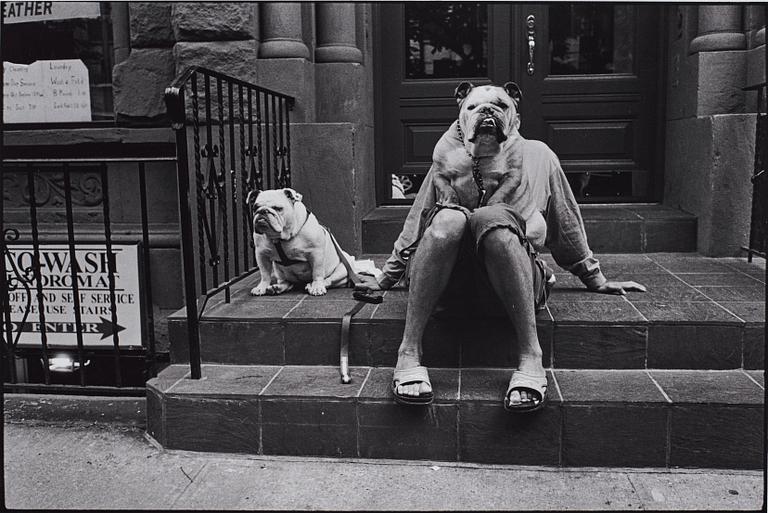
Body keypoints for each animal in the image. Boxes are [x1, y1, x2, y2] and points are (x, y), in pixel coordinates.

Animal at [246, 188, 378, 296]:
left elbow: (317, 273)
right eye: (255, 207)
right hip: (279, 270)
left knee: (329, 280)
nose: (262, 211)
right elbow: (264, 274)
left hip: (343, 267)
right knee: (287, 282)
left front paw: (317, 287)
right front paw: (262, 287)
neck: (281, 237)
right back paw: (277, 287)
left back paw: (312, 285)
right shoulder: (261, 254)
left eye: (277, 208)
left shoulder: (316, 253)